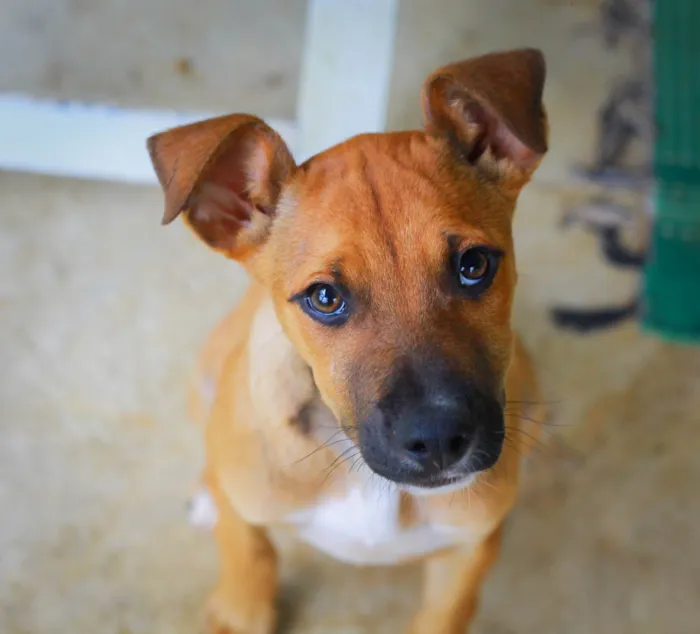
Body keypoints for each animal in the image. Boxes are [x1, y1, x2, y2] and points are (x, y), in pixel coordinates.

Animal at [149, 49, 548, 632]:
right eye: (324, 298)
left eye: (474, 266)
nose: (438, 440)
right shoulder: (249, 517)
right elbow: (249, 559)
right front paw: (242, 606)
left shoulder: (464, 557)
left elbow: (443, 613)